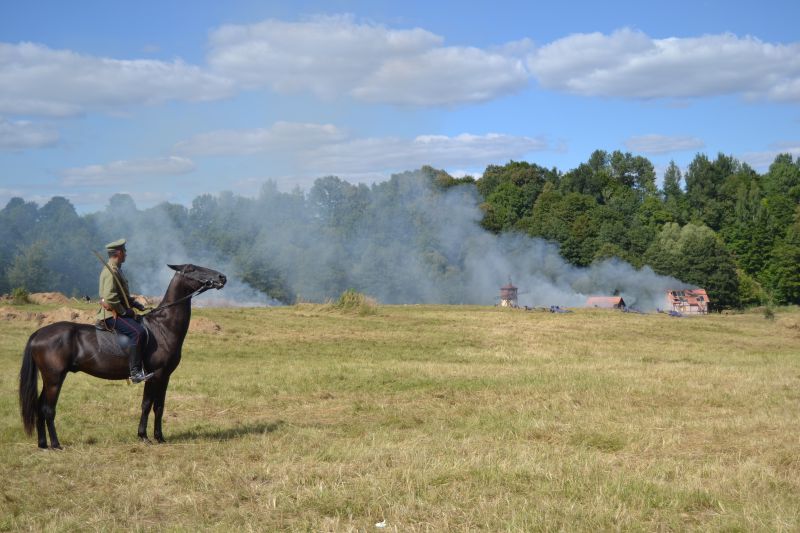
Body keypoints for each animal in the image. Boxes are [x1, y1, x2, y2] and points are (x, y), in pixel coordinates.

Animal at [19, 264, 225, 446]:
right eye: (192, 269)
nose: (221, 277)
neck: (162, 327)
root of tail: (39, 333)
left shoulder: (165, 376)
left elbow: (159, 406)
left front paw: (160, 437)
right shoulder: (155, 375)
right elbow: (147, 404)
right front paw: (144, 436)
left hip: (49, 379)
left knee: (39, 407)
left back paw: (43, 444)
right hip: (54, 379)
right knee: (48, 409)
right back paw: (55, 444)